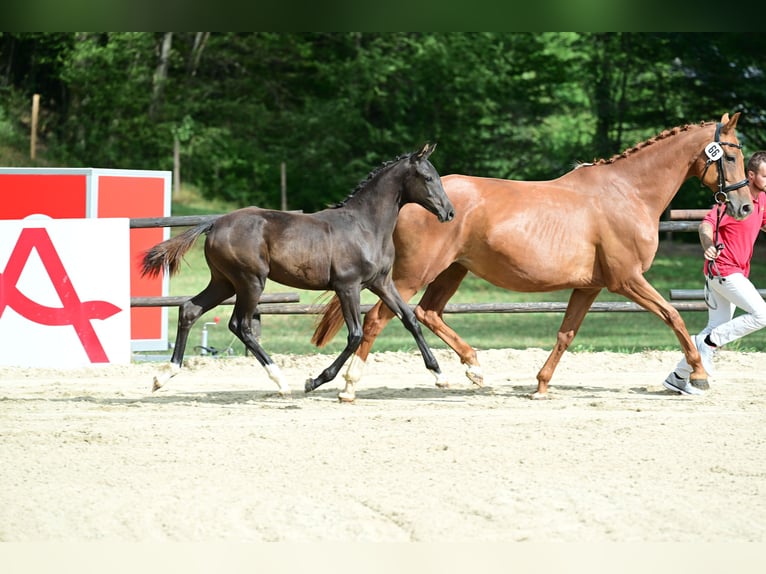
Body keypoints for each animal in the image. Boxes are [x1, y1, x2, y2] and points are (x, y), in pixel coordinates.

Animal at [141, 143, 455, 396]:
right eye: (428, 178)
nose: (449, 212)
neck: (366, 225)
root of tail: (215, 223)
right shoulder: (348, 286)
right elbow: (354, 334)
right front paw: (314, 381)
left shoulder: (381, 282)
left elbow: (409, 319)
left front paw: (440, 375)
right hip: (250, 281)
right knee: (241, 325)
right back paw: (281, 382)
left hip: (224, 282)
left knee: (189, 310)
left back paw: (162, 376)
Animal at [311, 113, 752, 401]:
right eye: (731, 157)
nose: (745, 206)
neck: (626, 192)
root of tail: (412, 202)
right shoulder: (627, 279)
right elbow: (673, 315)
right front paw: (698, 375)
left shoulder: (590, 287)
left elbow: (566, 334)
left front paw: (540, 385)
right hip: (412, 275)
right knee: (379, 319)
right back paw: (349, 386)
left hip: (451, 272)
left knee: (427, 312)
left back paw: (474, 369)